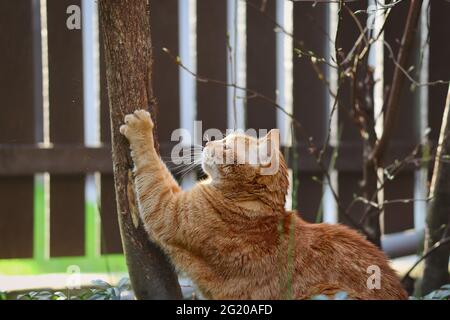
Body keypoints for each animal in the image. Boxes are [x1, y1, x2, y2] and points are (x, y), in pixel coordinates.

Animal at [119, 110, 408, 300]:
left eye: (226, 146)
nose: (209, 142)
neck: (250, 206)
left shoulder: (164, 207)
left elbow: (150, 165)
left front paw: (140, 129)